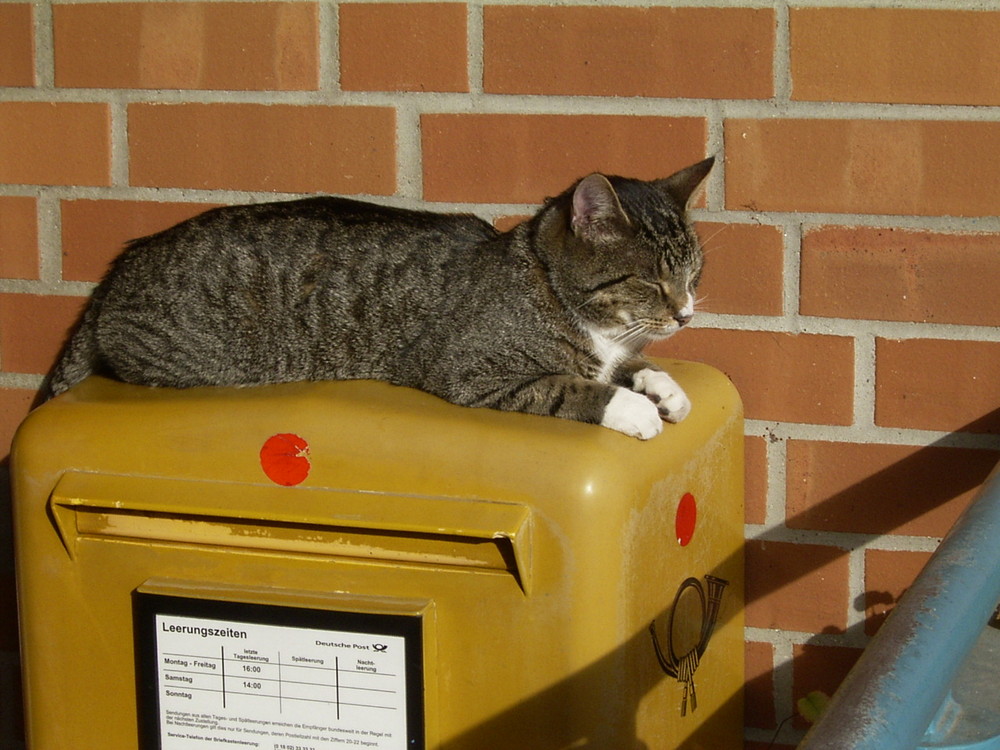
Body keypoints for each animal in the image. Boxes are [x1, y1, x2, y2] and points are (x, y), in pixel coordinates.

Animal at [47, 159, 716, 440]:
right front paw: (632, 410)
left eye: (694, 275)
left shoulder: (614, 348)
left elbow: (631, 363)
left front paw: (664, 389)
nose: (685, 313)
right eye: (652, 281)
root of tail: (124, 262)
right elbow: (572, 387)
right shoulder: (473, 373)